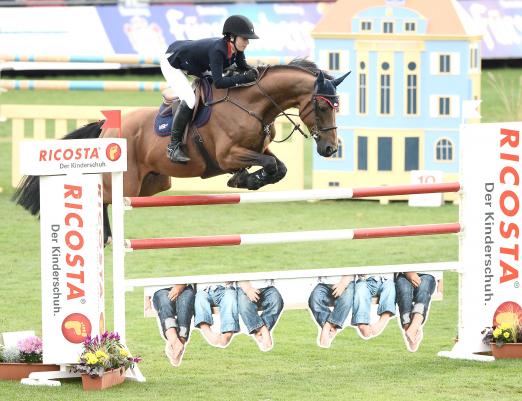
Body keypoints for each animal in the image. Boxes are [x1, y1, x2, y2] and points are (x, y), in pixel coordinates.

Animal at [13, 57, 350, 242]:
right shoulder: (228, 154)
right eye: (322, 106)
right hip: (128, 183)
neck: (253, 103)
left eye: (338, 106)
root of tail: (107, 126)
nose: (330, 148)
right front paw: (244, 179)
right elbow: (268, 165)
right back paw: (104, 236)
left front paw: (245, 180)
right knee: (103, 197)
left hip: (153, 184)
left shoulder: (258, 149)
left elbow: (278, 167)